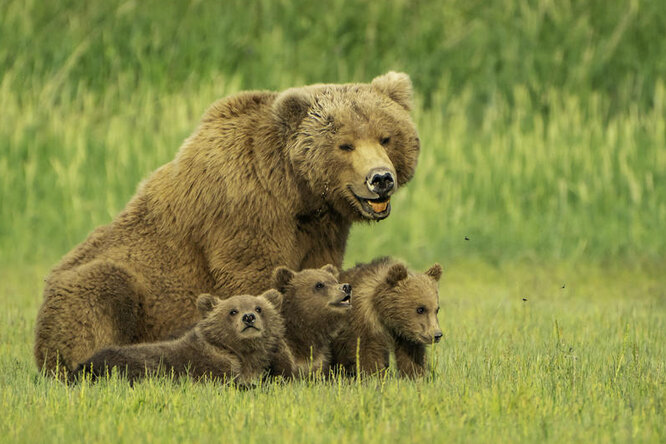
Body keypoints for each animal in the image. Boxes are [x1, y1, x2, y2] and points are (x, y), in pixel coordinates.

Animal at [33, 72, 418, 374]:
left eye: (386, 137)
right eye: (345, 145)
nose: (380, 179)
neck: (295, 191)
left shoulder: (321, 229)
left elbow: (318, 273)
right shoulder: (243, 214)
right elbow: (254, 279)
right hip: (111, 280)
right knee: (96, 299)